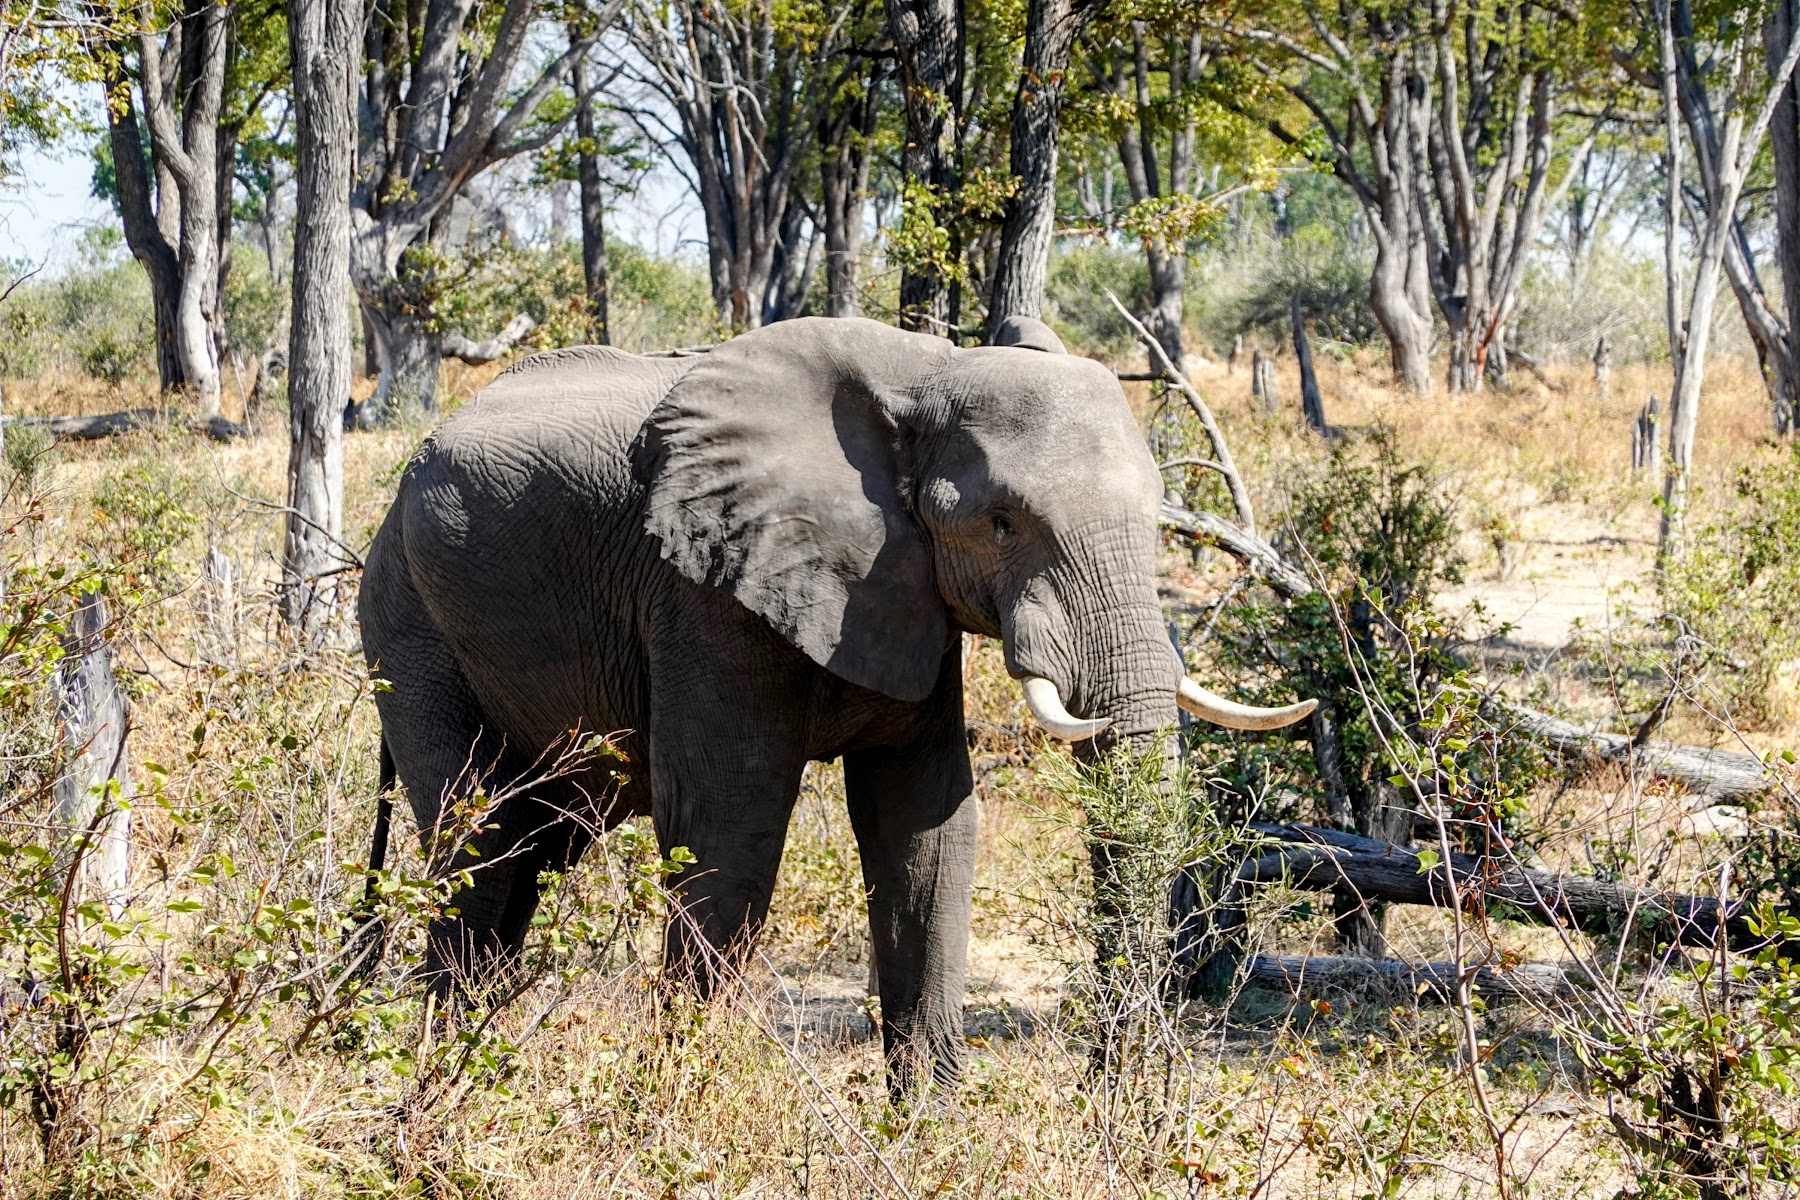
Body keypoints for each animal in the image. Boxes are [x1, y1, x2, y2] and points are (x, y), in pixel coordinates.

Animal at [358, 315, 1314, 1093]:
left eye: (1159, 515)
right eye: (1002, 524)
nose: (1100, 1097)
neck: (929, 373)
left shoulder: (907, 594)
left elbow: (926, 826)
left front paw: (924, 1133)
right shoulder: (702, 589)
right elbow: (730, 828)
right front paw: (676, 1108)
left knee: (535, 847)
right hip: (410, 622)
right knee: (481, 838)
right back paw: (437, 1087)